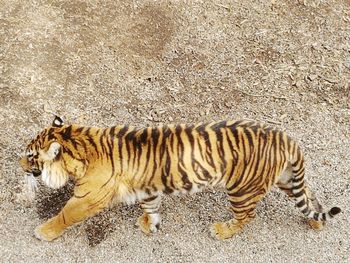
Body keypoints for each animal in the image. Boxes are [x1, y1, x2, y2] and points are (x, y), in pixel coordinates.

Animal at [18, 116, 340, 242]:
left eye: (31, 155)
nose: (19, 163)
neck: (79, 141)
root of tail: (287, 140)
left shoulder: (87, 199)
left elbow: (65, 215)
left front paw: (43, 232)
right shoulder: (148, 187)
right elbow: (151, 207)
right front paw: (149, 225)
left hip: (242, 190)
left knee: (247, 215)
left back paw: (222, 231)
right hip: (286, 180)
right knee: (309, 197)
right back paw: (316, 223)